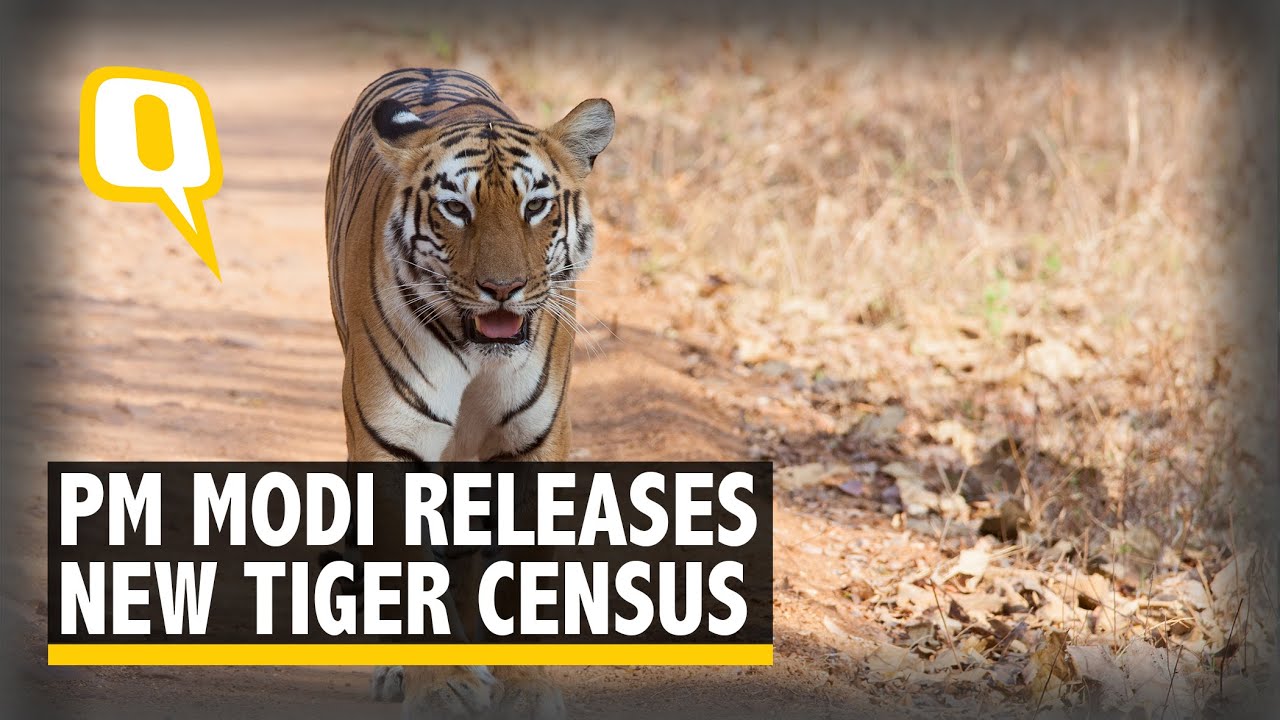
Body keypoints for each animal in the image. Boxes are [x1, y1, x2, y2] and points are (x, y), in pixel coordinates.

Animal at [324, 67, 614, 719]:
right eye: (456, 208)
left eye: (535, 206)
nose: (502, 289)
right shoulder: (391, 444)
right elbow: (409, 577)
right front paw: (444, 689)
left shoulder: (533, 444)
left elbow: (525, 576)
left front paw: (528, 692)